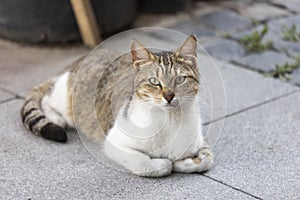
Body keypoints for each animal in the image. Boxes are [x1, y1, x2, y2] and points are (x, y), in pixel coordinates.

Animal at [20, 34, 213, 177]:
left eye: (180, 79)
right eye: (154, 81)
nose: (169, 96)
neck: (169, 121)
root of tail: (79, 60)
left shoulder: (201, 140)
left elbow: (206, 160)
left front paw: (185, 162)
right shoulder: (114, 142)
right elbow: (144, 163)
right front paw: (165, 163)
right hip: (64, 98)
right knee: (46, 98)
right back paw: (57, 118)